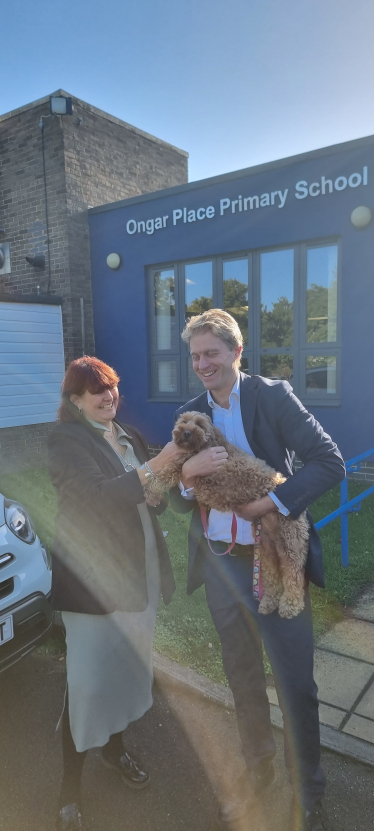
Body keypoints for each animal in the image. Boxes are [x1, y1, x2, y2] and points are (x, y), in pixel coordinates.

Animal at [146, 410, 310, 616]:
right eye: (183, 421)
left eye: (199, 424)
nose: (186, 432)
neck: (208, 444)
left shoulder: (183, 465)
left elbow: (162, 477)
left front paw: (150, 493)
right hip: (266, 545)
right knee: (273, 574)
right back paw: (269, 601)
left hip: (289, 540)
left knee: (294, 572)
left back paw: (291, 605)